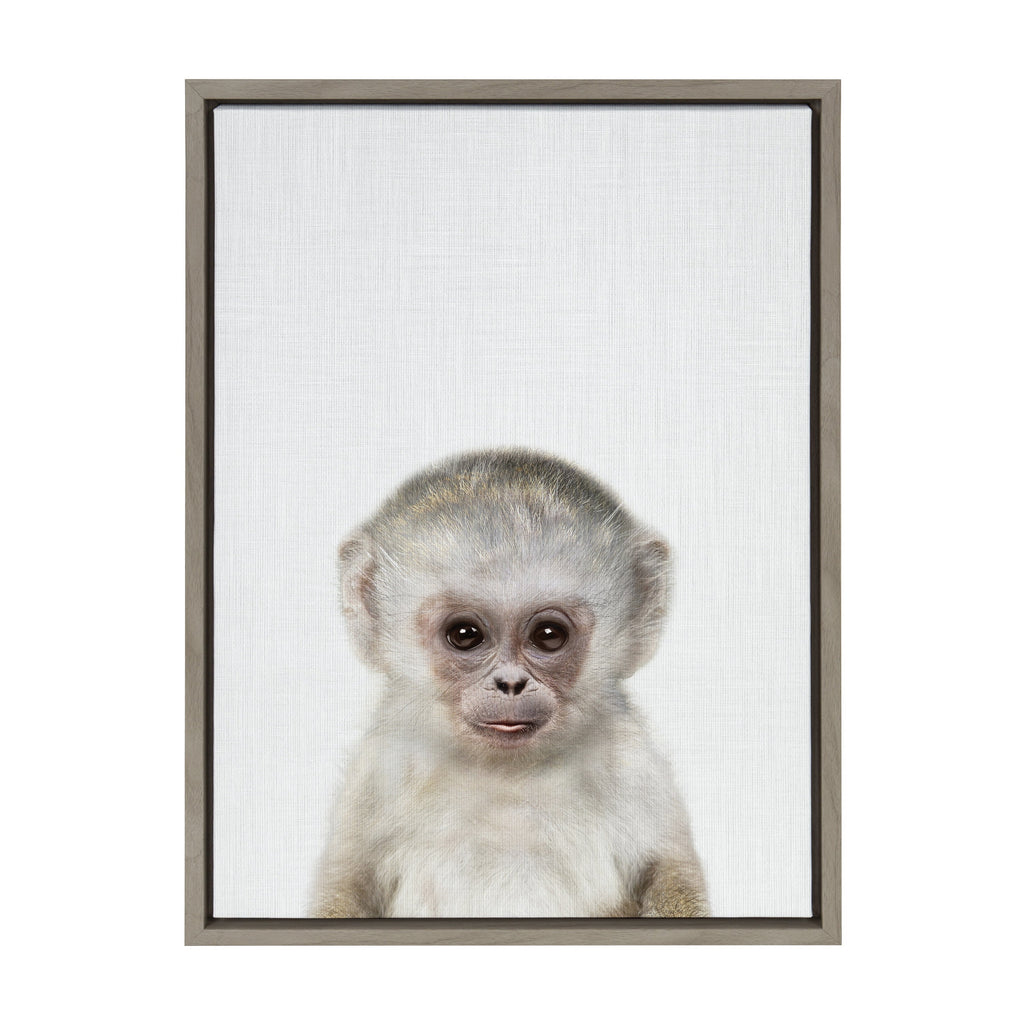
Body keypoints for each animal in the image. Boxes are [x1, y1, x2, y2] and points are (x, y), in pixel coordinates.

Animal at [313, 448, 707, 918]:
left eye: (549, 635)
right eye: (465, 635)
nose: (511, 684)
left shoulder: (633, 762)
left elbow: (671, 874)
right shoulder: (379, 768)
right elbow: (345, 887)